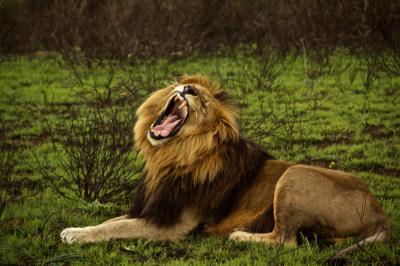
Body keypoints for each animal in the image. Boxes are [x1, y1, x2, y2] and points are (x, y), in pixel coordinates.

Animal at [61, 74, 392, 258]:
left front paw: (75, 234)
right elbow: (112, 221)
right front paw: (79, 229)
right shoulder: (152, 208)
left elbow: (117, 227)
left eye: (204, 101)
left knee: (286, 241)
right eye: (183, 85)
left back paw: (239, 236)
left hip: (294, 174)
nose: (188, 89)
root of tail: (381, 213)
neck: (169, 155)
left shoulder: (174, 225)